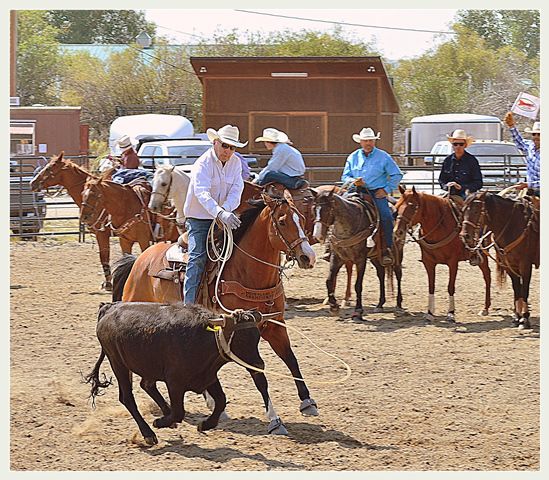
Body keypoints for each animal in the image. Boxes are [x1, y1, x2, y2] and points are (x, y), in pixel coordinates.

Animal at [111, 190, 316, 436]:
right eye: (283, 221)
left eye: (302, 219)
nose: (308, 257)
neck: (246, 273)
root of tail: (139, 260)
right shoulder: (242, 336)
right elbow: (258, 375)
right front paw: (275, 420)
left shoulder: (274, 325)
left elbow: (291, 359)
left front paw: (307, 402)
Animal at [312, 187, 402, 318]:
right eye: (314, 209)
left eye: (328, 210)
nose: (317, 235)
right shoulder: (337, 257)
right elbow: (329, 280)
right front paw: (334, 306)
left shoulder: (360, 259)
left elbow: (358, 285)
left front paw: (358, 310)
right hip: (375, 256)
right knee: (381, 273)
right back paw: (380, 304)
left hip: (396, 253)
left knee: (398, 273)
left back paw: (399, 304)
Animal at [392, 188, 490, 322]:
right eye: (397, 206)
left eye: (413, 207)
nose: (398, 231)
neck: (439, 228)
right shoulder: (428, 262)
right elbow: (431, 286)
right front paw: (429, 312)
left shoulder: (453, 263)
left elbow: (450, 287)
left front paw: (451, 313)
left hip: (484, 255)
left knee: (487, 275)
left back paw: (485, 308)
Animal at [458, 191, 540, 330]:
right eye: (463, 211)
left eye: (476, 211)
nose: (465, 236)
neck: (514, 225)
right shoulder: (509, 265)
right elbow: (517, 289)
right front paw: (517, 318)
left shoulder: (525, 265)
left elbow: (524, 290)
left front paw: (525, 319)